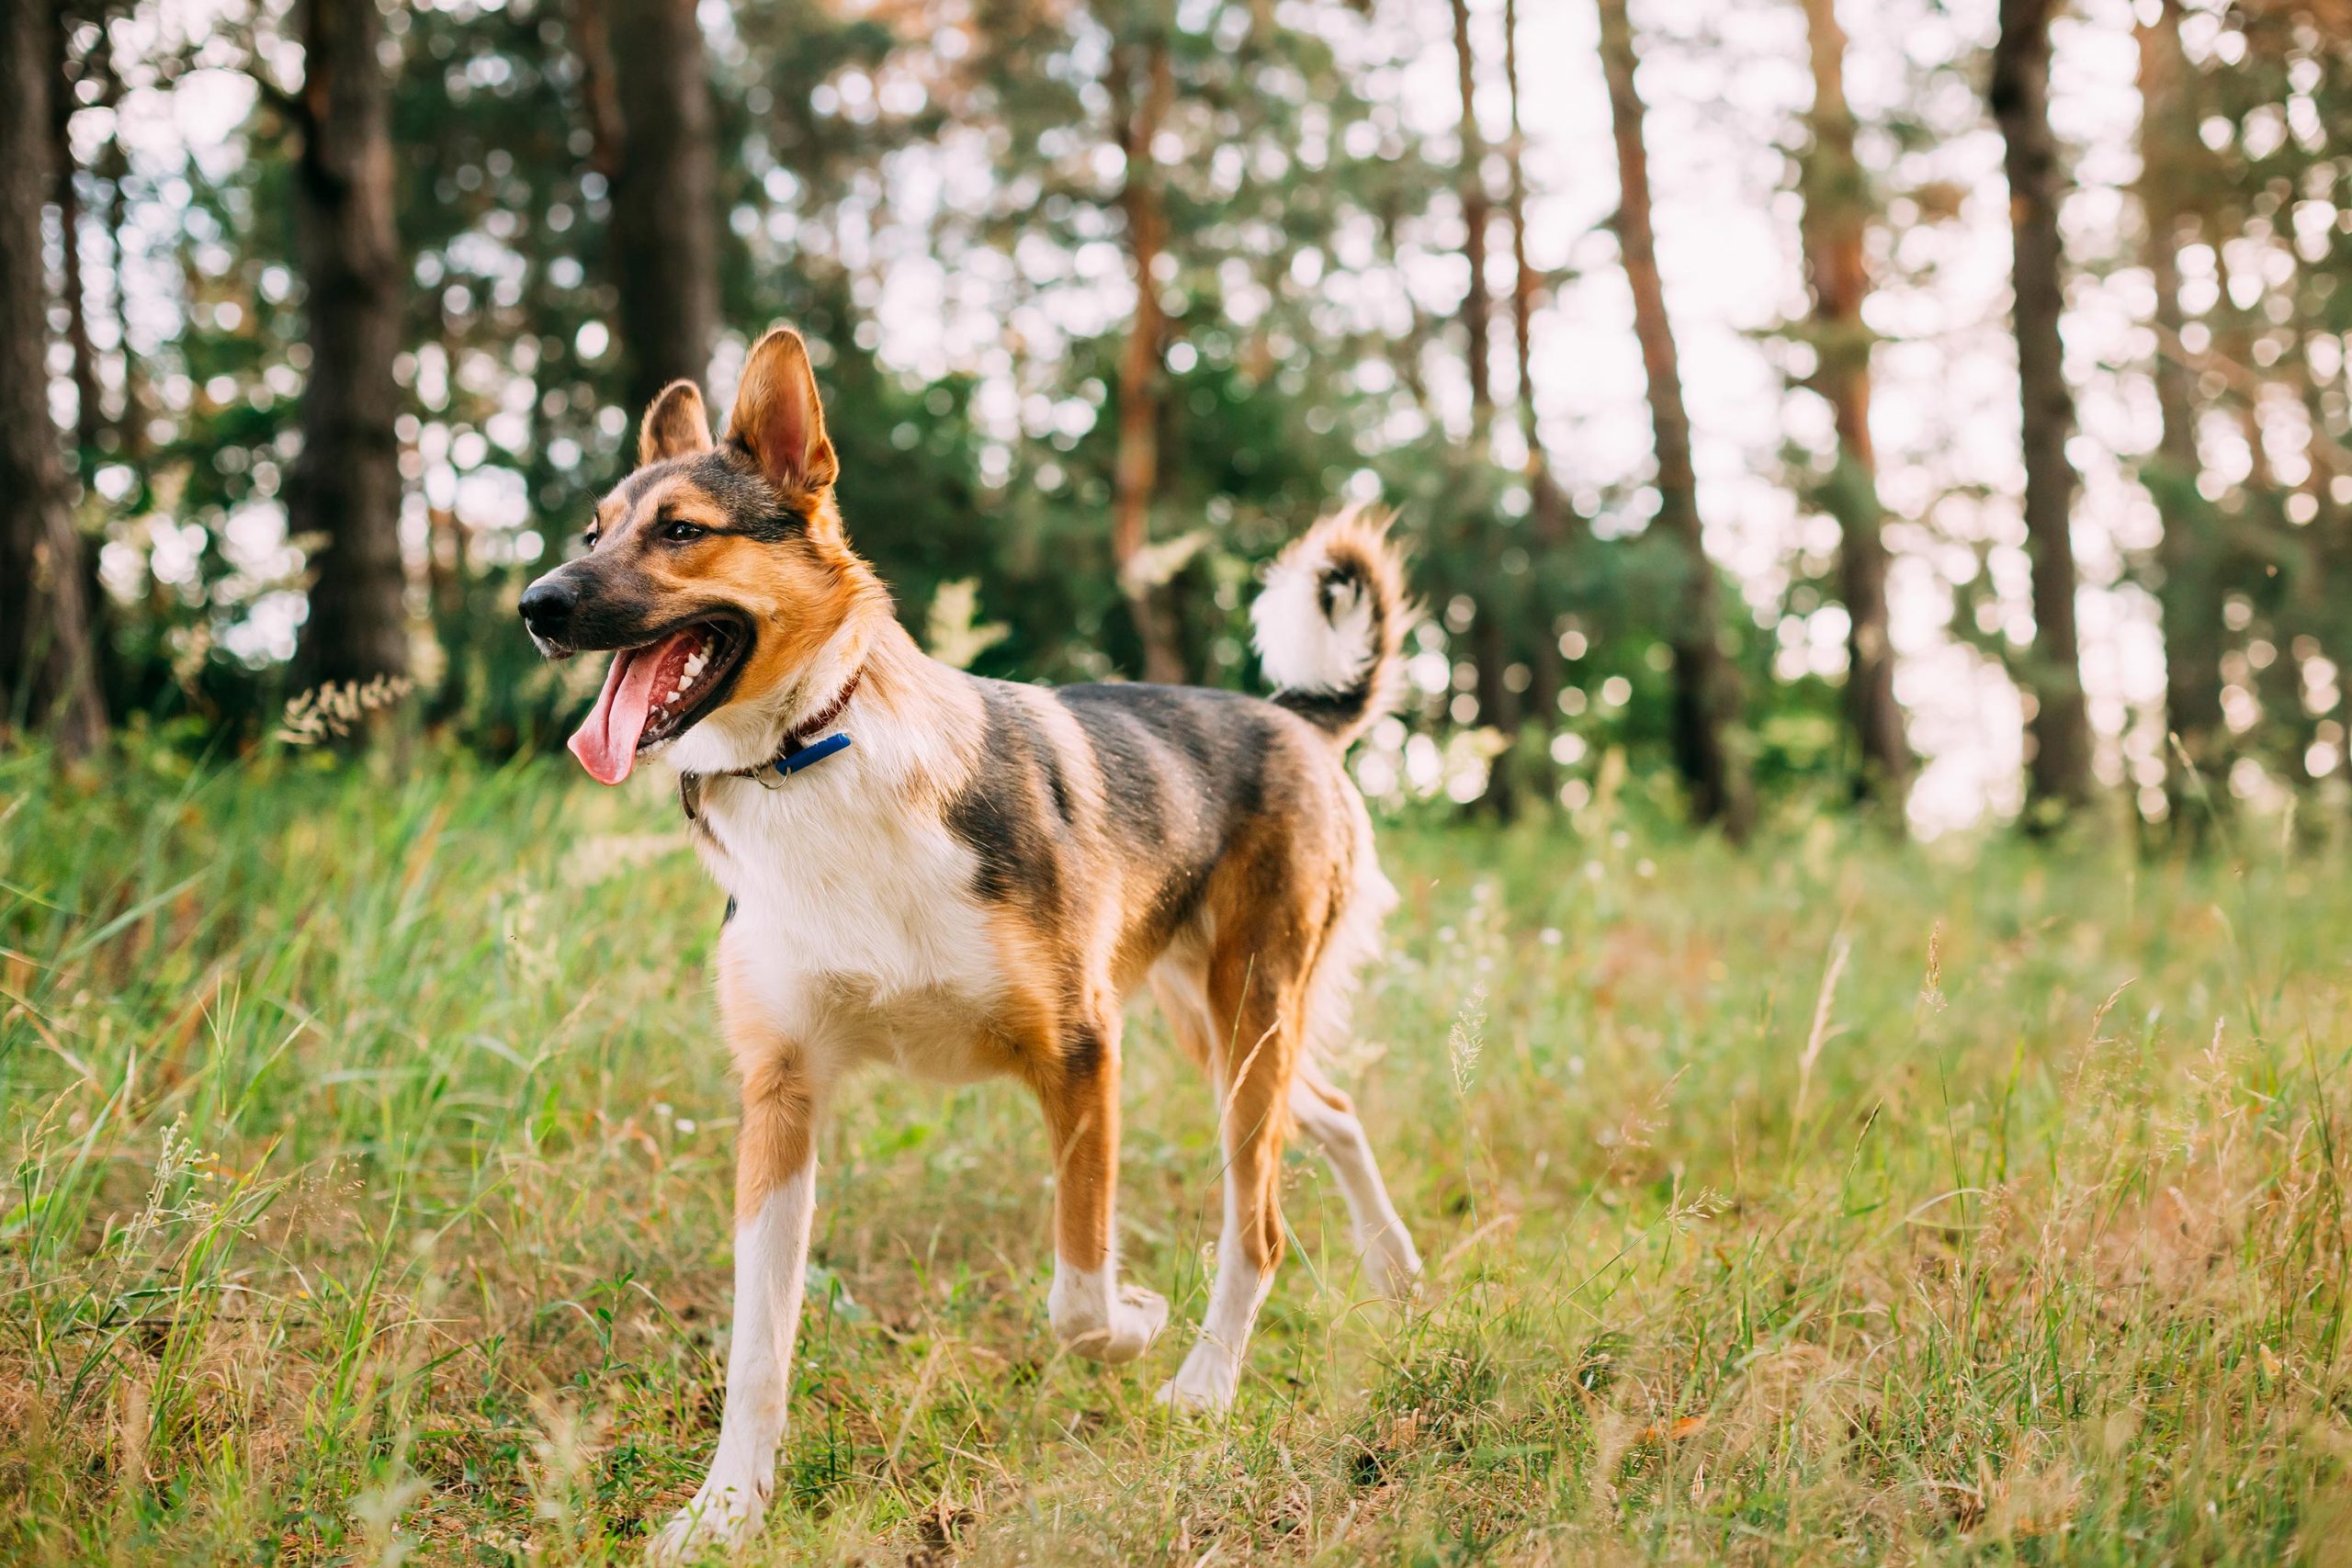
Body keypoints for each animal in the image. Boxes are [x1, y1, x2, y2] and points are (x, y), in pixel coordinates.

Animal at [524, 329, 1420, 1561]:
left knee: (1261, 1224)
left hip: (1246, 1021)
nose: (535, 604)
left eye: (682, 532)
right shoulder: (780, 1096)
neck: (815, 756)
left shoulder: (1083, 1056)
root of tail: (1291, 712)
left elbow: (1077, 1298)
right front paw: (726, 1510)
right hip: (1216, 1025)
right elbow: (757, 1350)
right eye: (592, 533)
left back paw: (1206, 1384)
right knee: (1326, 1112)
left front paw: (1137, 1318)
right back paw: (1394, 1268)